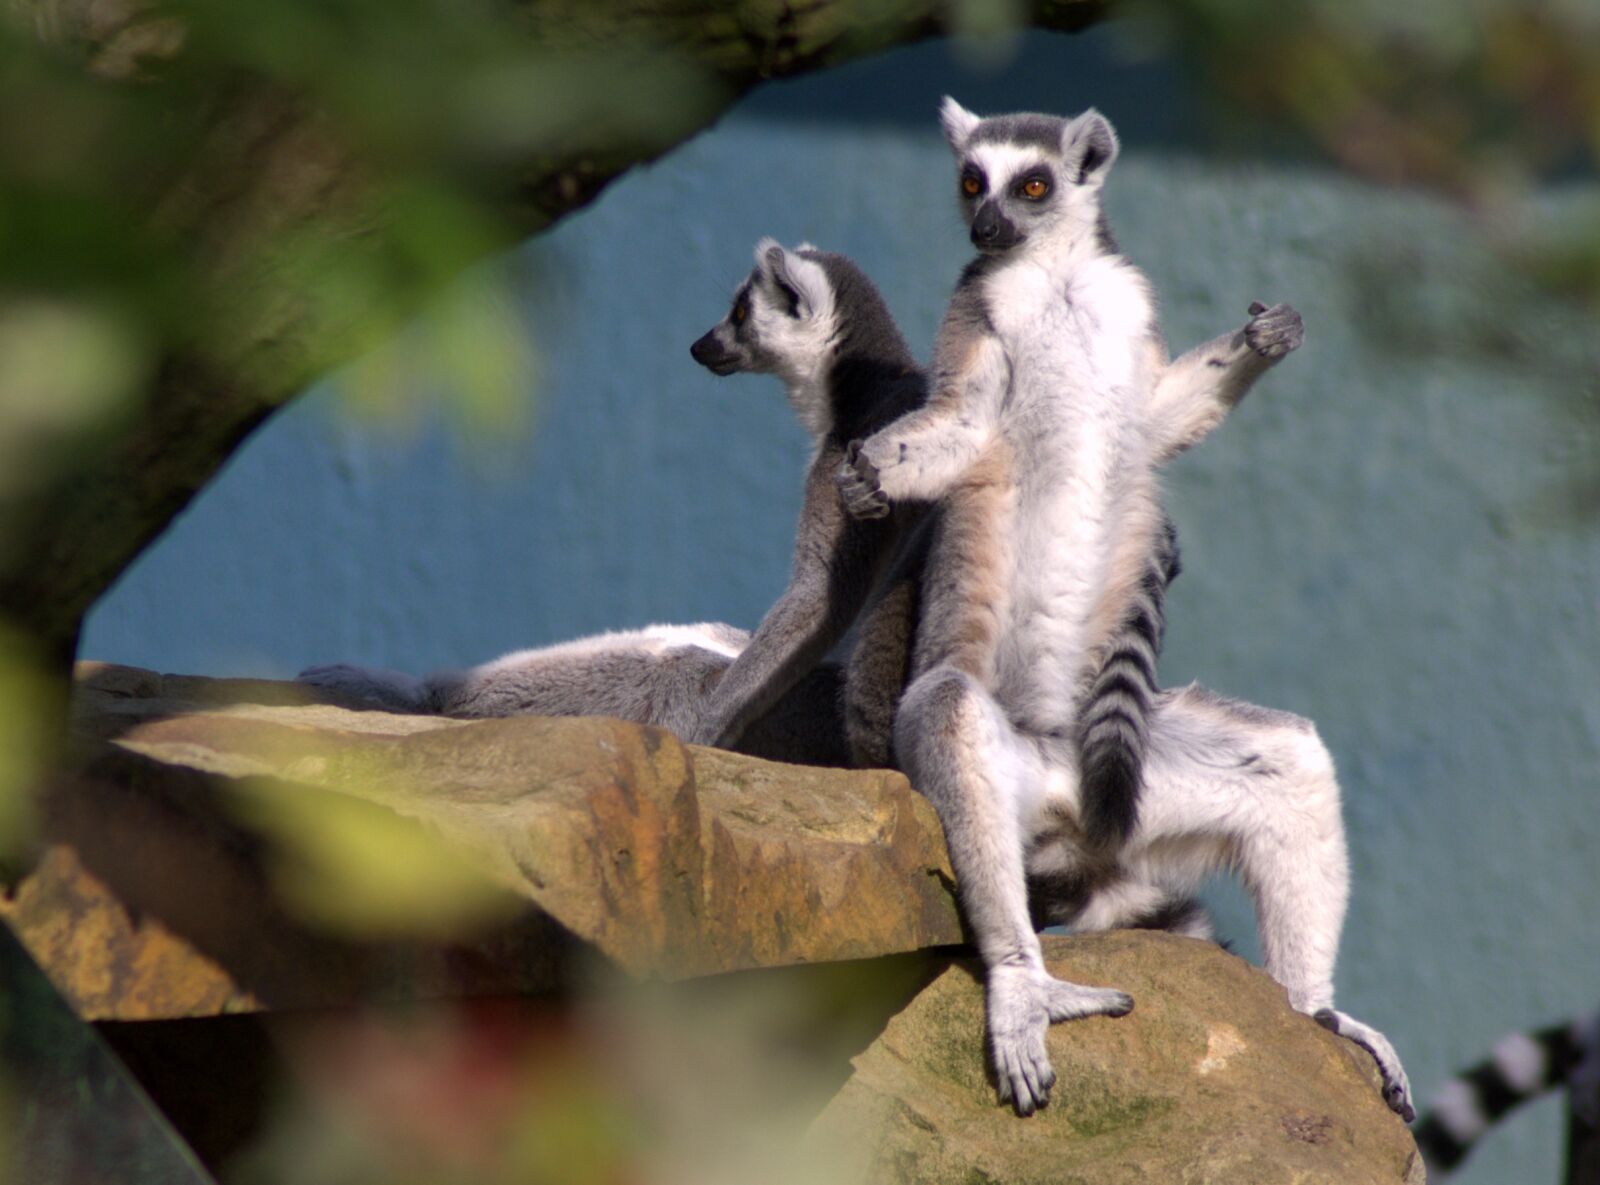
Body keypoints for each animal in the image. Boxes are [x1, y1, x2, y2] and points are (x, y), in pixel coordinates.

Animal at [833, 98, 1411, 1120]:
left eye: (1031, 185)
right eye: (971, 181)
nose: (986, 226)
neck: (1057, 278)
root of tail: (1067, 813)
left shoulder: (1125, 312)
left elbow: (1159, 415)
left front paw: (1264, 337)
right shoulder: (976, 322)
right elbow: (955, 432)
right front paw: (866, 478)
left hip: (1143, 789)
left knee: (1291, 760)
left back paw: (1317, 1011)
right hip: (1018, 768)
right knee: (946, 715)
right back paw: (1022, 981)